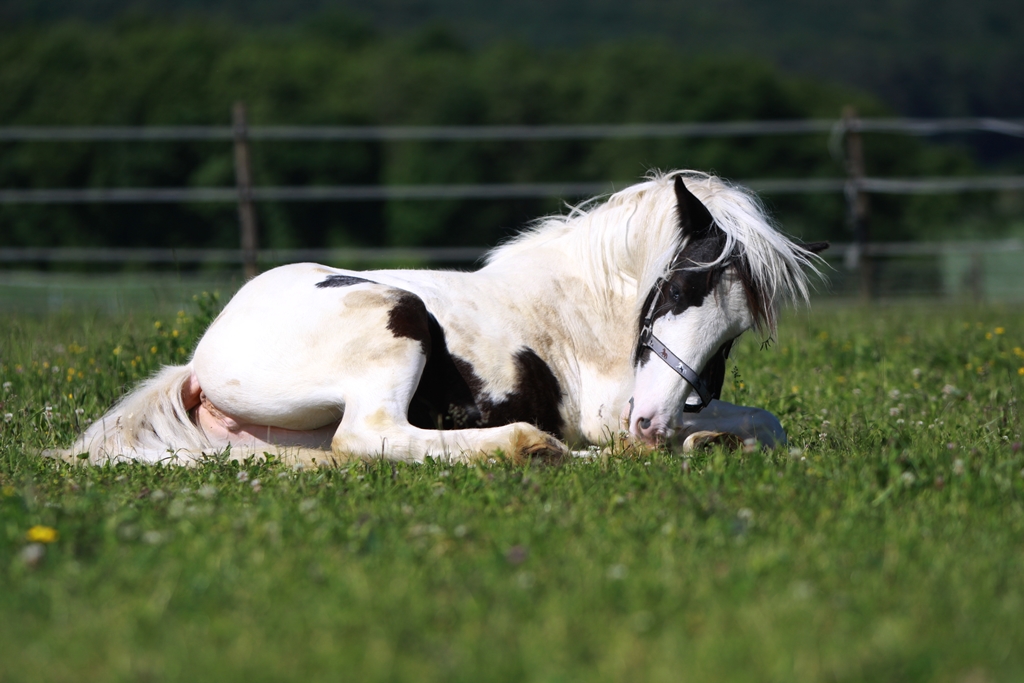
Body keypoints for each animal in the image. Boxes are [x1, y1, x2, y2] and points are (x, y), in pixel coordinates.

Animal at [54, 169, 823, 464]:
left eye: (733, 335)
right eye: (676, 289)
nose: (651, 423)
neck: (582, 305)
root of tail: (199, 360)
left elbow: (763, 422)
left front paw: (713, 439)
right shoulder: (609, 412)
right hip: (396, 316)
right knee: (370, 436)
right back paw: (536, 448)